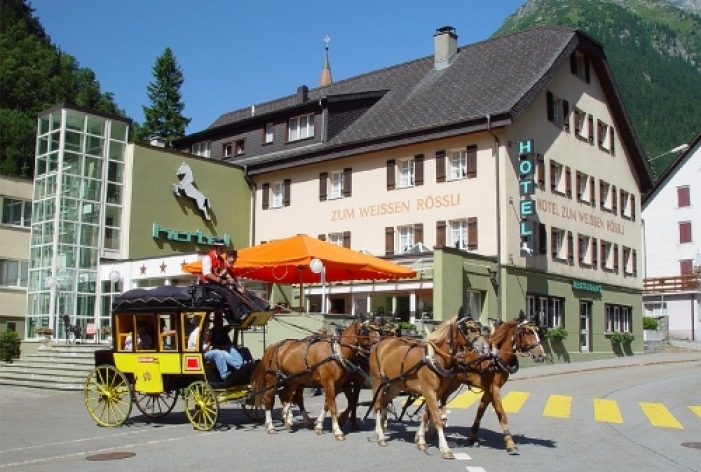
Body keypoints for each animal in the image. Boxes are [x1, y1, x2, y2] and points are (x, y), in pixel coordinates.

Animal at [250, 318, 378, 440]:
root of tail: (274, 345)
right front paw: (338, 431)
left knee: (286, 396)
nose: (378, 343)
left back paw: (288, 419)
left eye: (378, 331)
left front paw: (319, 425)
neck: (336, 352)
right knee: (269, 399)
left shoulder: (340, 384)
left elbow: (328, 404)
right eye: (366, 331)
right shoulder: (331, 383)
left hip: (293, 380)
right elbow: (334, 406)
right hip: (273, 379)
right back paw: (271, 426)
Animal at [366, 316, 482, 460]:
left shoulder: (436, 393)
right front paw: (445, 449)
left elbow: (427, 415)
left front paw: (421, 440)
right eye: (466, 330)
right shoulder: (429, 391)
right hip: (378, 381)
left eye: (478, 329)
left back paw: (382, 427)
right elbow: (437, 418)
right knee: (377, 405)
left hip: (395, 385)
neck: (434, 359)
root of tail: (381, 343)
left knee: (384, 402)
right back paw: (380, 436)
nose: (482, 348)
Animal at [442, 312, 548, 456]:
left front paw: (473, 436)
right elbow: (501, 414)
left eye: (537, 331)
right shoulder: (494, 388)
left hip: (454, 382)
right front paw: (510, 443)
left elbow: (481, 410)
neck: (494, 357)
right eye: (527, 332)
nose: (541, 355)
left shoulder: (489, 389)